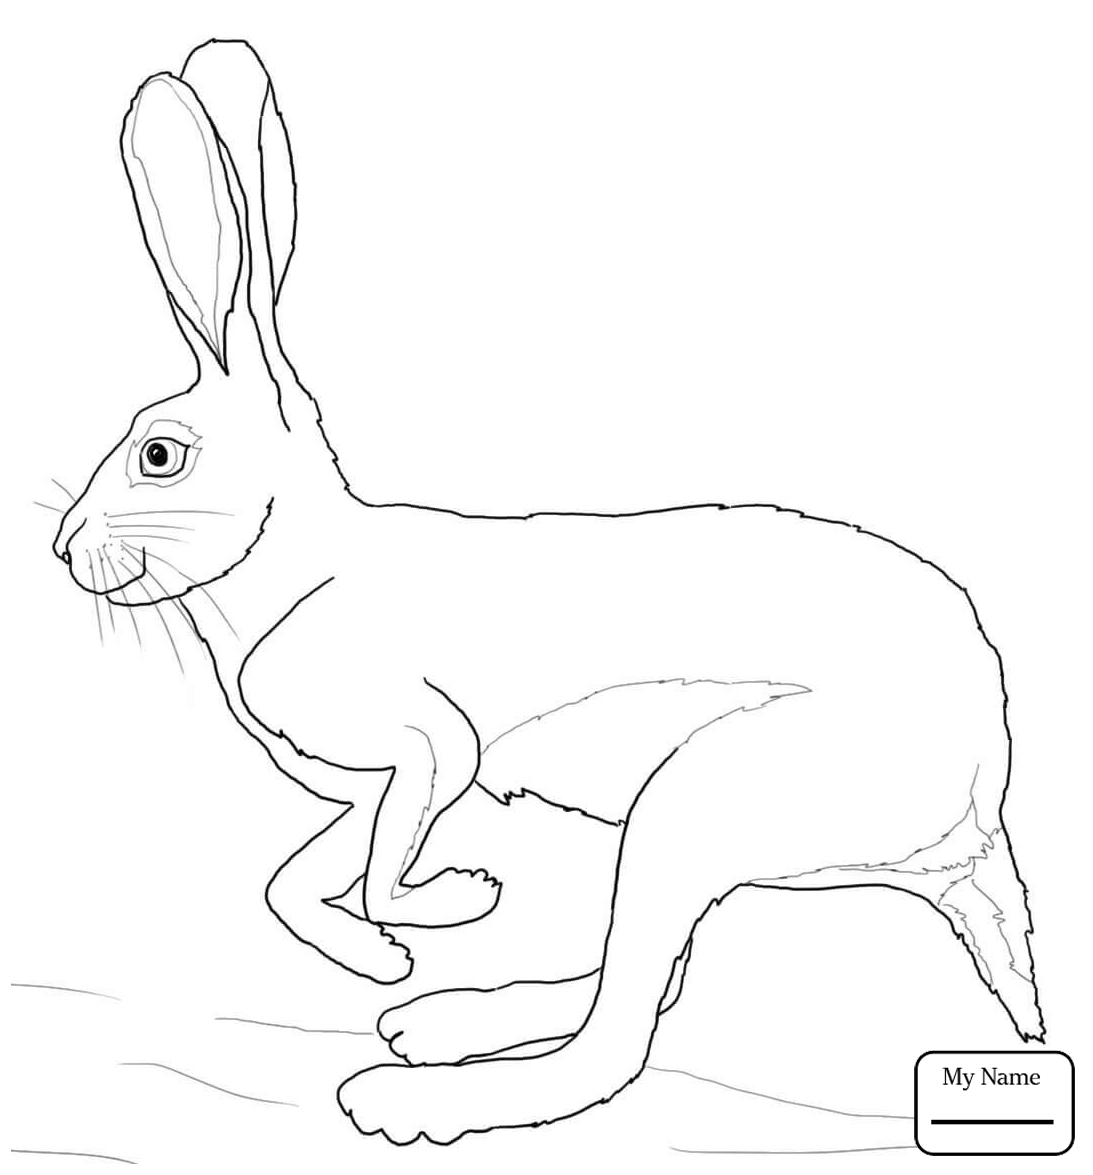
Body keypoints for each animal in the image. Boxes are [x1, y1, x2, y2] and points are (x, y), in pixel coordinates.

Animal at [53, 39, 1043, 1144]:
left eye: (158, 455)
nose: (62, 547)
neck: (296, 565)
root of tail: (981, 785)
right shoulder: (370, 787)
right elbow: (292, 883)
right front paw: (399, 947)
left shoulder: (429, 747)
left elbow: (379, 868)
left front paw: (442, 909)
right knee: (647, 987)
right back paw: (436, 1022)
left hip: (696, 804)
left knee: (617, 1040)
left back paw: (407, 1094)